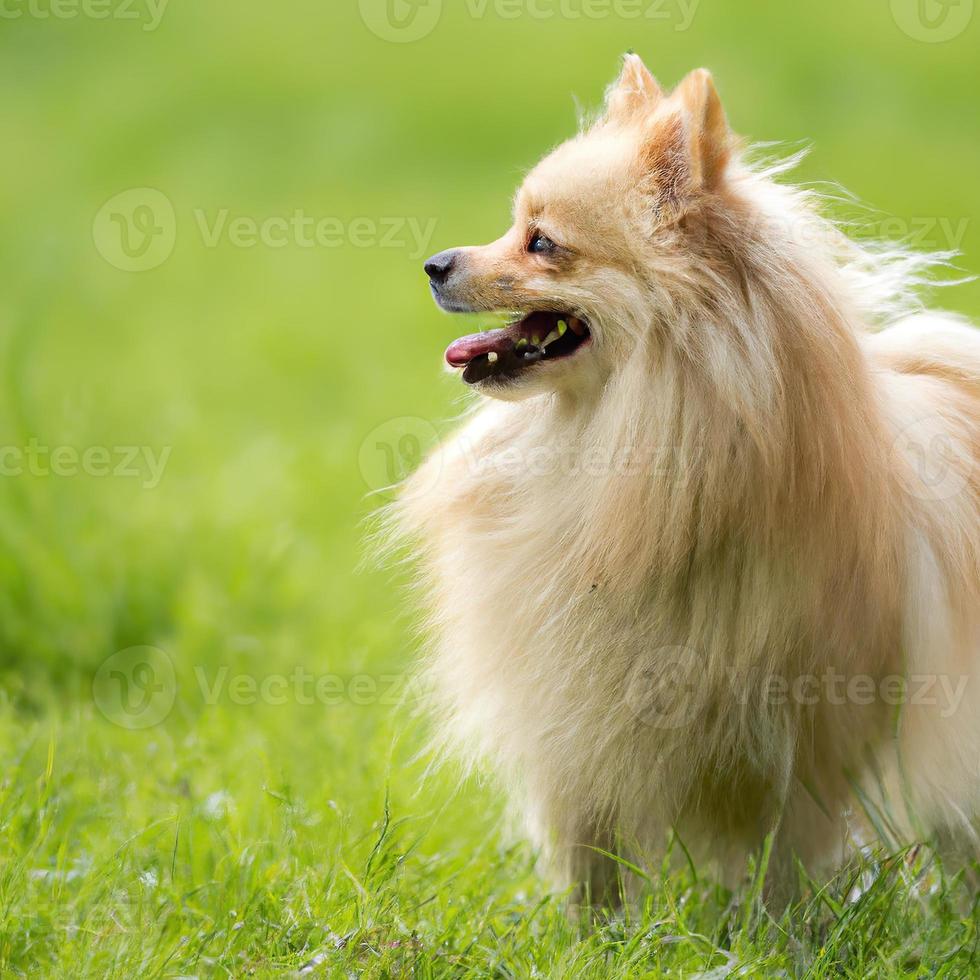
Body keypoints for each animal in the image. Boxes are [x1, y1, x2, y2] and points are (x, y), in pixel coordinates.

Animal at [396, 55, 980, 904]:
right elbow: (590, 855)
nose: (436, 264)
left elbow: (783, 859)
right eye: (514, 226)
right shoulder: (574, 718)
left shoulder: (805, 737)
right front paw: (591, 930)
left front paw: (774, 929)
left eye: (542, 242)